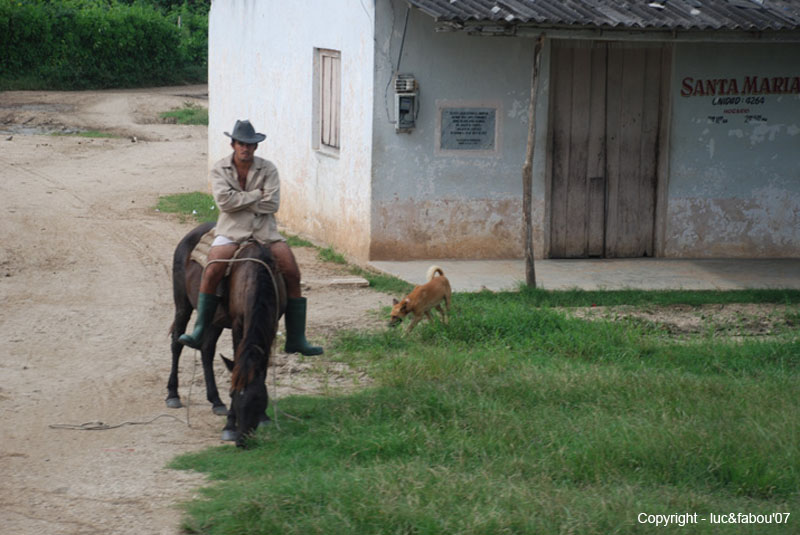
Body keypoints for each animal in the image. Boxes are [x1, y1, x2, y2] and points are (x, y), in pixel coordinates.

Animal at [165, 222, 284, 448]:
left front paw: (264, 418)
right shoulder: (238, 325)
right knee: (177, 341)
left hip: (214, 319)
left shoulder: (271, 326)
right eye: (234, 397)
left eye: (259, 399)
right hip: (183, 303)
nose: (242, 441)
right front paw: (229, 426)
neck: (254, 277)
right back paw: (173, 394)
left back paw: (215, 401)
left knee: (206, 349)